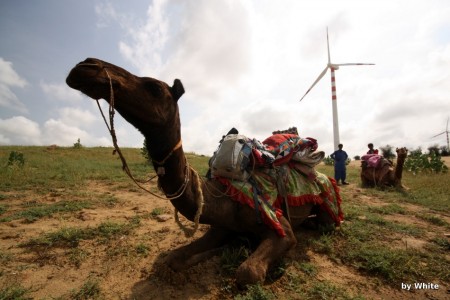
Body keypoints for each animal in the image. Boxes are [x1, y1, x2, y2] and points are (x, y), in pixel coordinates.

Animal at [66, 56, 342, 286]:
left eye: (154, 87)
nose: (86, 66)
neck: (222, 195)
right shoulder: (221, 226)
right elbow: (173, 259)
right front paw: (225, 248)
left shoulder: (280, 227)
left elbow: (248, 272)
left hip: (326, 201)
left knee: (326, 224)